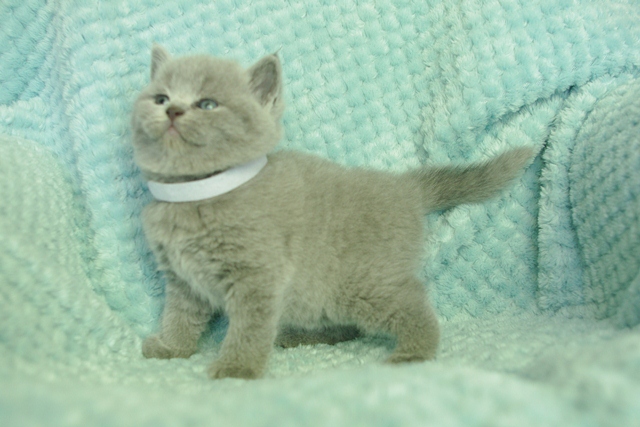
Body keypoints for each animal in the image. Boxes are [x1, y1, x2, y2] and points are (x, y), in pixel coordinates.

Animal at [132, 44, 534, 380]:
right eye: (161, 97)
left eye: (207, 105)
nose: (172, 110)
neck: (195, 195)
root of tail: (406, 186)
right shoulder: (184, 280)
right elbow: (180, 315)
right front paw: (172, 346)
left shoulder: (258, 277)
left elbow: (249, 326)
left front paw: (237, 369)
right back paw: (302, 336)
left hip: (361, 283)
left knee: (413, 299)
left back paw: (415, 353)